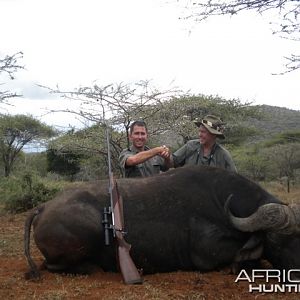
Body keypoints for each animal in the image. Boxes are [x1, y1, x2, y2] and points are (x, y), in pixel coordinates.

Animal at [24, 165, 300, 280]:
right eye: (276, 240)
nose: (296, 272)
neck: (222, 201)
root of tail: (43, 207)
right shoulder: (206, 256)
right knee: (54, 266)